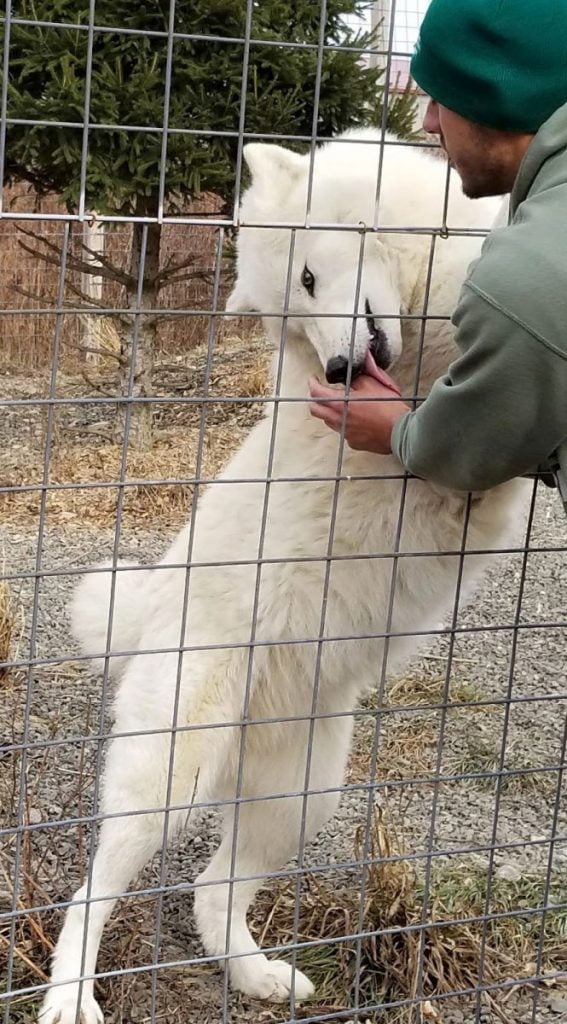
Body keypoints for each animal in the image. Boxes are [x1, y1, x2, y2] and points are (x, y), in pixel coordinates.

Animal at [41, 132, 524, 1019]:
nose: (334, 369)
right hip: (171, 777)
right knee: (91, 893)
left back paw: (256, 975)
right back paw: (68, 999)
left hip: (300, 797)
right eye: (297, 306)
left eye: (305, 278)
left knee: (211, 890)